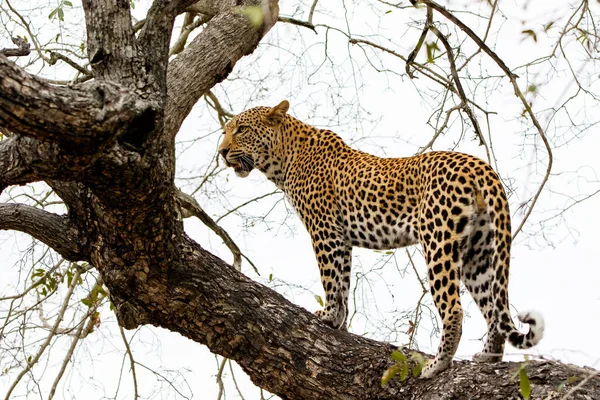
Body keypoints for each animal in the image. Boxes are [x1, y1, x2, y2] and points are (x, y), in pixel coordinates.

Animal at [219, 99, 544, 378]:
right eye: (226, 131)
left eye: (241, 129)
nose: (221, 152)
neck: (284, 158)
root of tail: (481, 166)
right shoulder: (341, 236)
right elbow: (343, 279)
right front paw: (339, 321)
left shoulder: (324, 228)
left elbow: (330, 277)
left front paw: (328, 316)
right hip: (480, 250)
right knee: (493, 308)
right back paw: (488, 357)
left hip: (438, 242)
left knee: (454, 308)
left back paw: (437, 365)